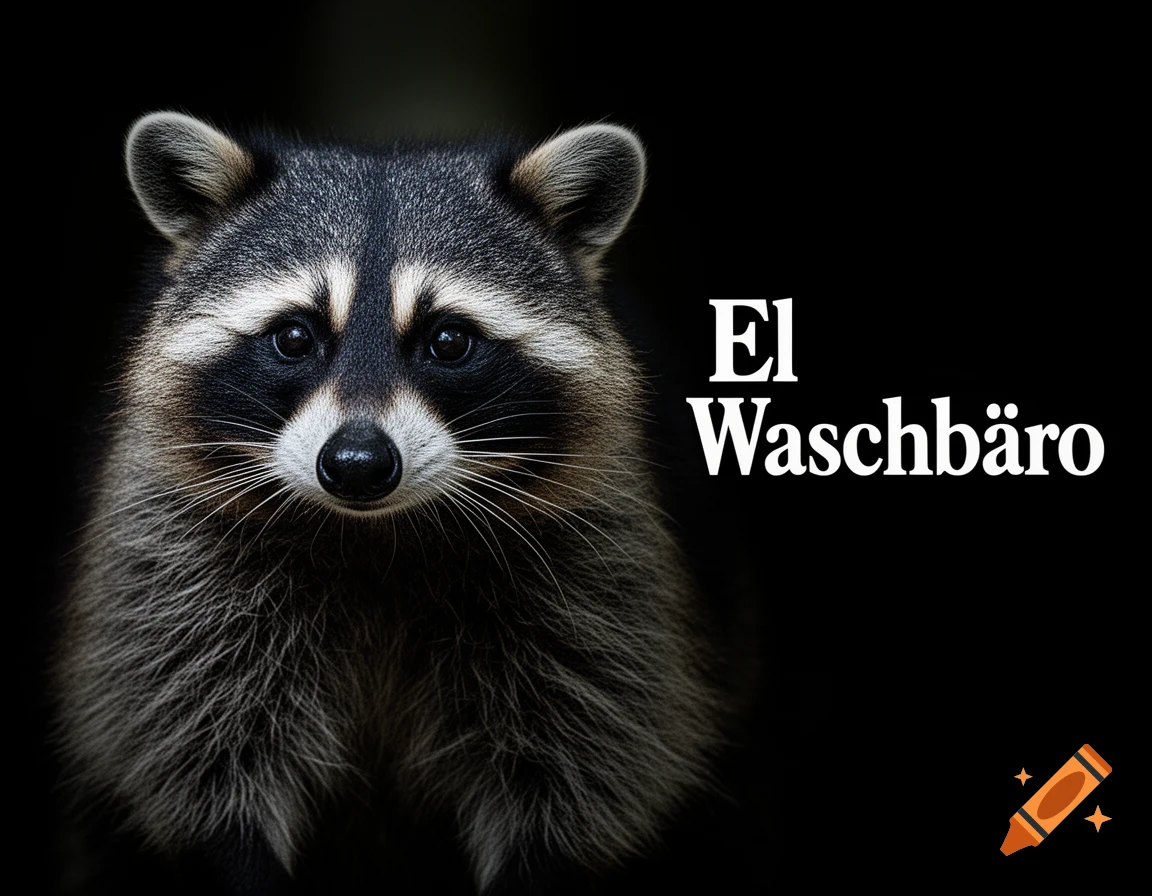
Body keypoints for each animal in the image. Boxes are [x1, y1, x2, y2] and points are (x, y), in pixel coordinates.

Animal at [54, 112, 720, 894]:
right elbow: (194, 745)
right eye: (294, 336)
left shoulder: (590, 574)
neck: (375, 532)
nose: (358, 467)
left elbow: (578, 764)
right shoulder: (174, 563)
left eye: (449, 340)